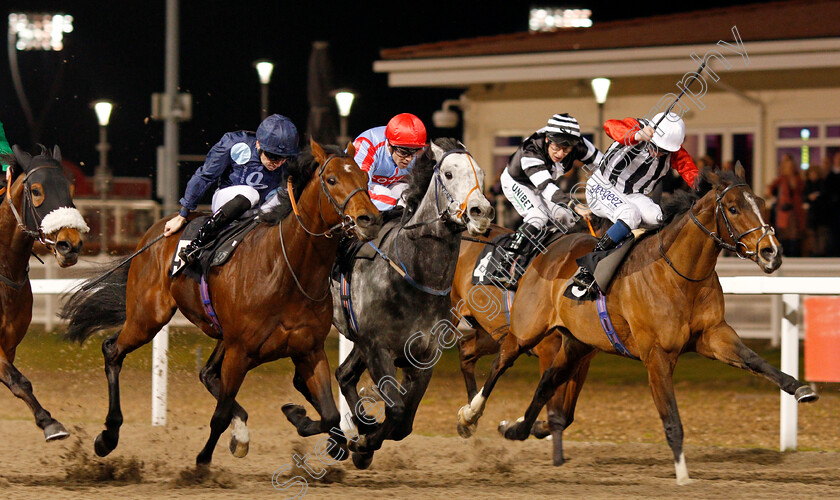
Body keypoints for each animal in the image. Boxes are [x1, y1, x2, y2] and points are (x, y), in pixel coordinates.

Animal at [0, 146, 86, 442]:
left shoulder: (10, 345)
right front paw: (49, 422)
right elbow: (18, 380)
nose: (69, 244)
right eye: (36, 191)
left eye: (70, 188)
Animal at [62, 138, 380, 464]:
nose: (370, 219)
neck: (286, 270)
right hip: (148, 317)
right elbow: (220, 415)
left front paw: (301, 419)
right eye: (332, 180)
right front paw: (202, 461)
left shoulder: (309, 350)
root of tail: (155, 231)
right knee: (113, 350)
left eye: (364, 177)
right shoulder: (240, 351)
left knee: (206, 374)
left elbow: (329, 415)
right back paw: (108, 435)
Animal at [332, 139, 496, 470]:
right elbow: (395, 409)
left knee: (344, 374)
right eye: (448, 174)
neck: (410, 275)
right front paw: (364, 444)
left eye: (483, 174)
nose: (481, 212)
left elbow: (404, 422)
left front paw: (365, 439)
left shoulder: (423, 356)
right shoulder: (377, 347)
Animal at [456, 168, 816, 484]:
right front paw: (683, 475)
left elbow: (756, 361)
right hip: (527, 330)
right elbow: (671, 418)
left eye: (762, 203)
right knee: (501, 362)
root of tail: (546, 254)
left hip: (576, 344)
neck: (679, 273)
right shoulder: (657, 355)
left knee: (544, 383)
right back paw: (469, 416)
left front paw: (801, 388)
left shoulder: (713, 334)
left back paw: (515, 428)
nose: (772, 252)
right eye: (733, 208)